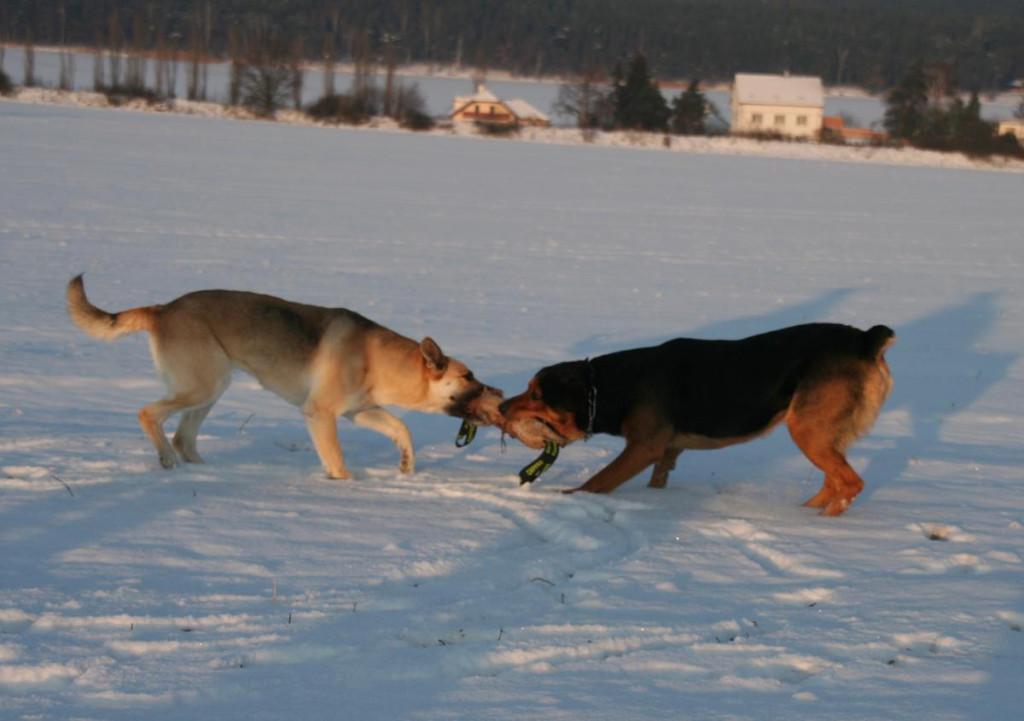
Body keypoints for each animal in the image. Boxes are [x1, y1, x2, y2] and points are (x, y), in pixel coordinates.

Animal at [66, 276, 505, 479]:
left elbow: (402, 428)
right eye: (468, 375)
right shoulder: (321, 414)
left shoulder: (359, 410)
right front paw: (347, 484)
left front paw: (406, 464)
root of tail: (163, 308)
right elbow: (337, 459)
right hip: (202, 386)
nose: (497, 393)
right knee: (149, 415)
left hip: (210, 390)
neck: (378, 359)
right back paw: (167, 461)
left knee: (183, 436)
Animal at [499, 323, 892, 516]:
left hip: (806, 428)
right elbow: (657, 480)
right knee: (835, 482)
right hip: (821, 433)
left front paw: (567, 498)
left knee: (850, 484)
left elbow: (597, 482)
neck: (610, 386)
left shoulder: (643, 448)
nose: (501, 408)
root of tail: (866, 340)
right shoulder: (667, 452)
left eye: (535, 395)